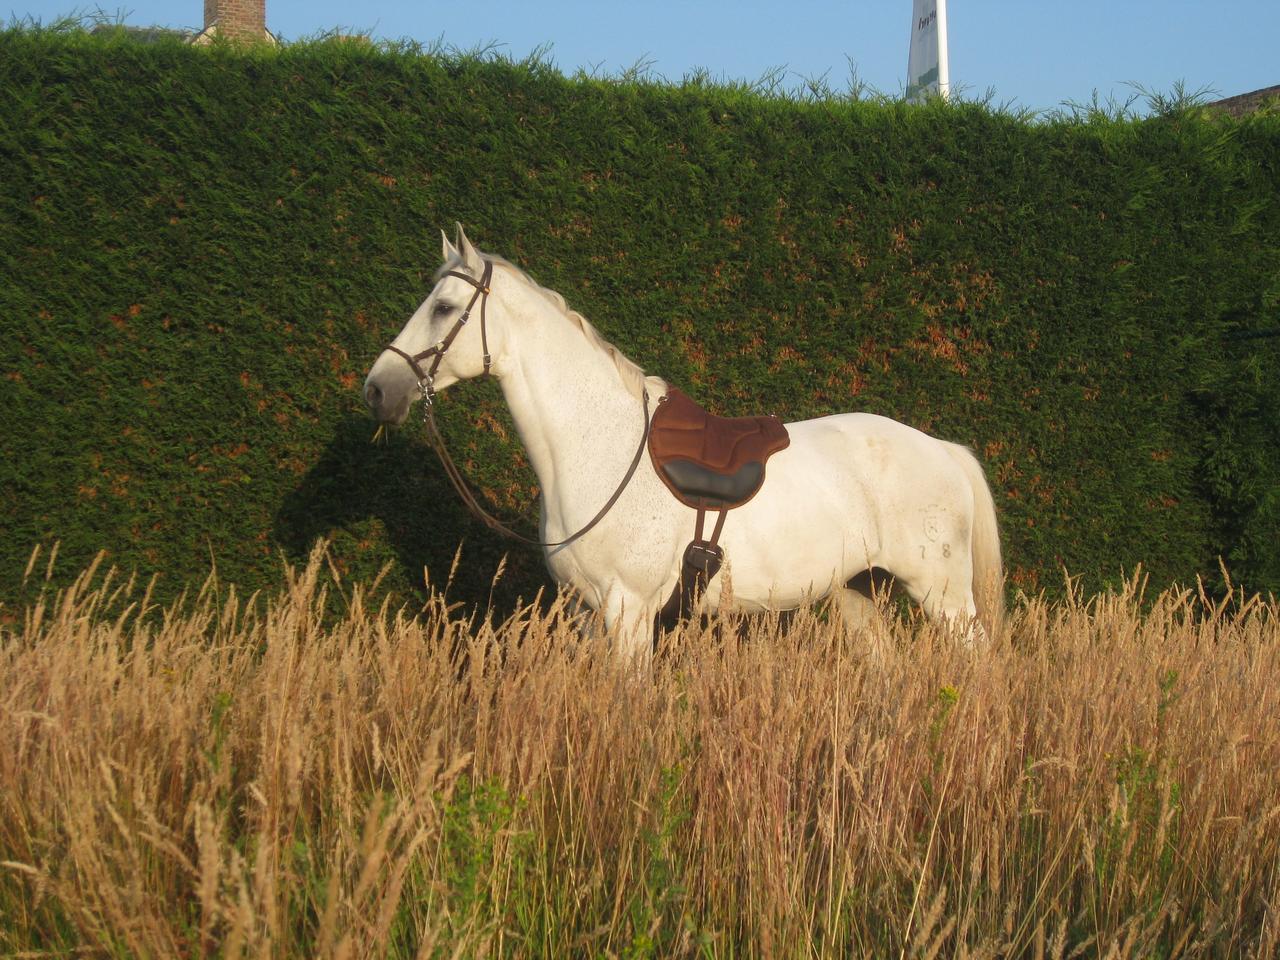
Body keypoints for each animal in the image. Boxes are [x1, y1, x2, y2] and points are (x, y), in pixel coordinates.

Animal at [360, 229, 998, 660]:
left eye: (443, 308)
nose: (377, 389)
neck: (596, 444)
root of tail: (942, 448)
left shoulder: (629, 610)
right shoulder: (591, 613)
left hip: (943, 596)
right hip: (859, 593)